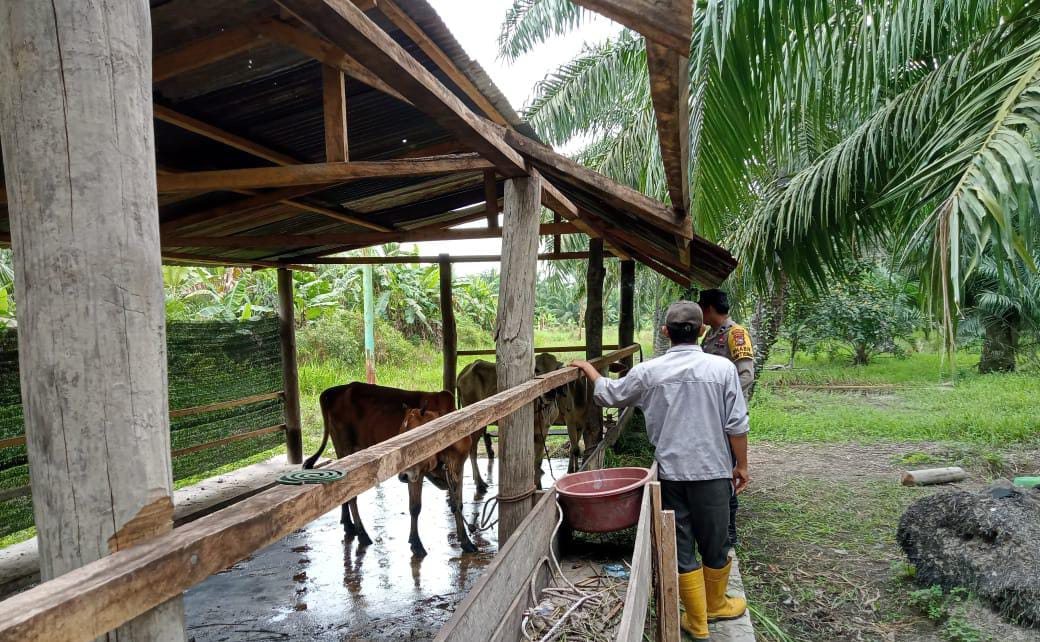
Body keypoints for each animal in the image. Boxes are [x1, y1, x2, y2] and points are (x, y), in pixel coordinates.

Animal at [303, 380, 459, 545]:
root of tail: (333, 390)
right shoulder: (415, 470)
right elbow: (415, 507)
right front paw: (415, 542)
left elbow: (457, 502)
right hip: (345, 447)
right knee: (351, 495)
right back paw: (362, 533)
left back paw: (348, 524)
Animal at [397, 403, 478, 553]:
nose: (402, 476)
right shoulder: (416, 474)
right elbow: (415, 507)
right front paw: (416, 543)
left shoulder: (458, 469)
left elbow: (458, 505)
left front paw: (465, 541)